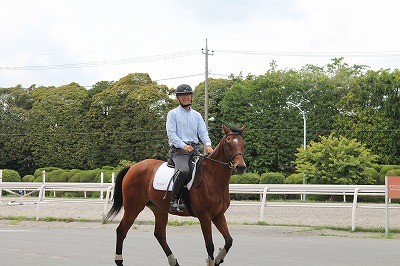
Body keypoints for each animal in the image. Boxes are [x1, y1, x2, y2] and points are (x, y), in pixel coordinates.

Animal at [104, 124, 245, 266]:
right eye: (228, 143)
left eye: (243, 144)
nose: (241, 167)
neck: (211, 177)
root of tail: (132, 167)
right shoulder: (205, 217)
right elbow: (210, 245)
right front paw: (213, 260)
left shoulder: (218, 215)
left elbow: (229, 240)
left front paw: (218, 259)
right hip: (133, 208)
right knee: (121, 230)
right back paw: (119, 261)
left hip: (159, 210)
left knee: (159, 234)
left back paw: (174, 261)